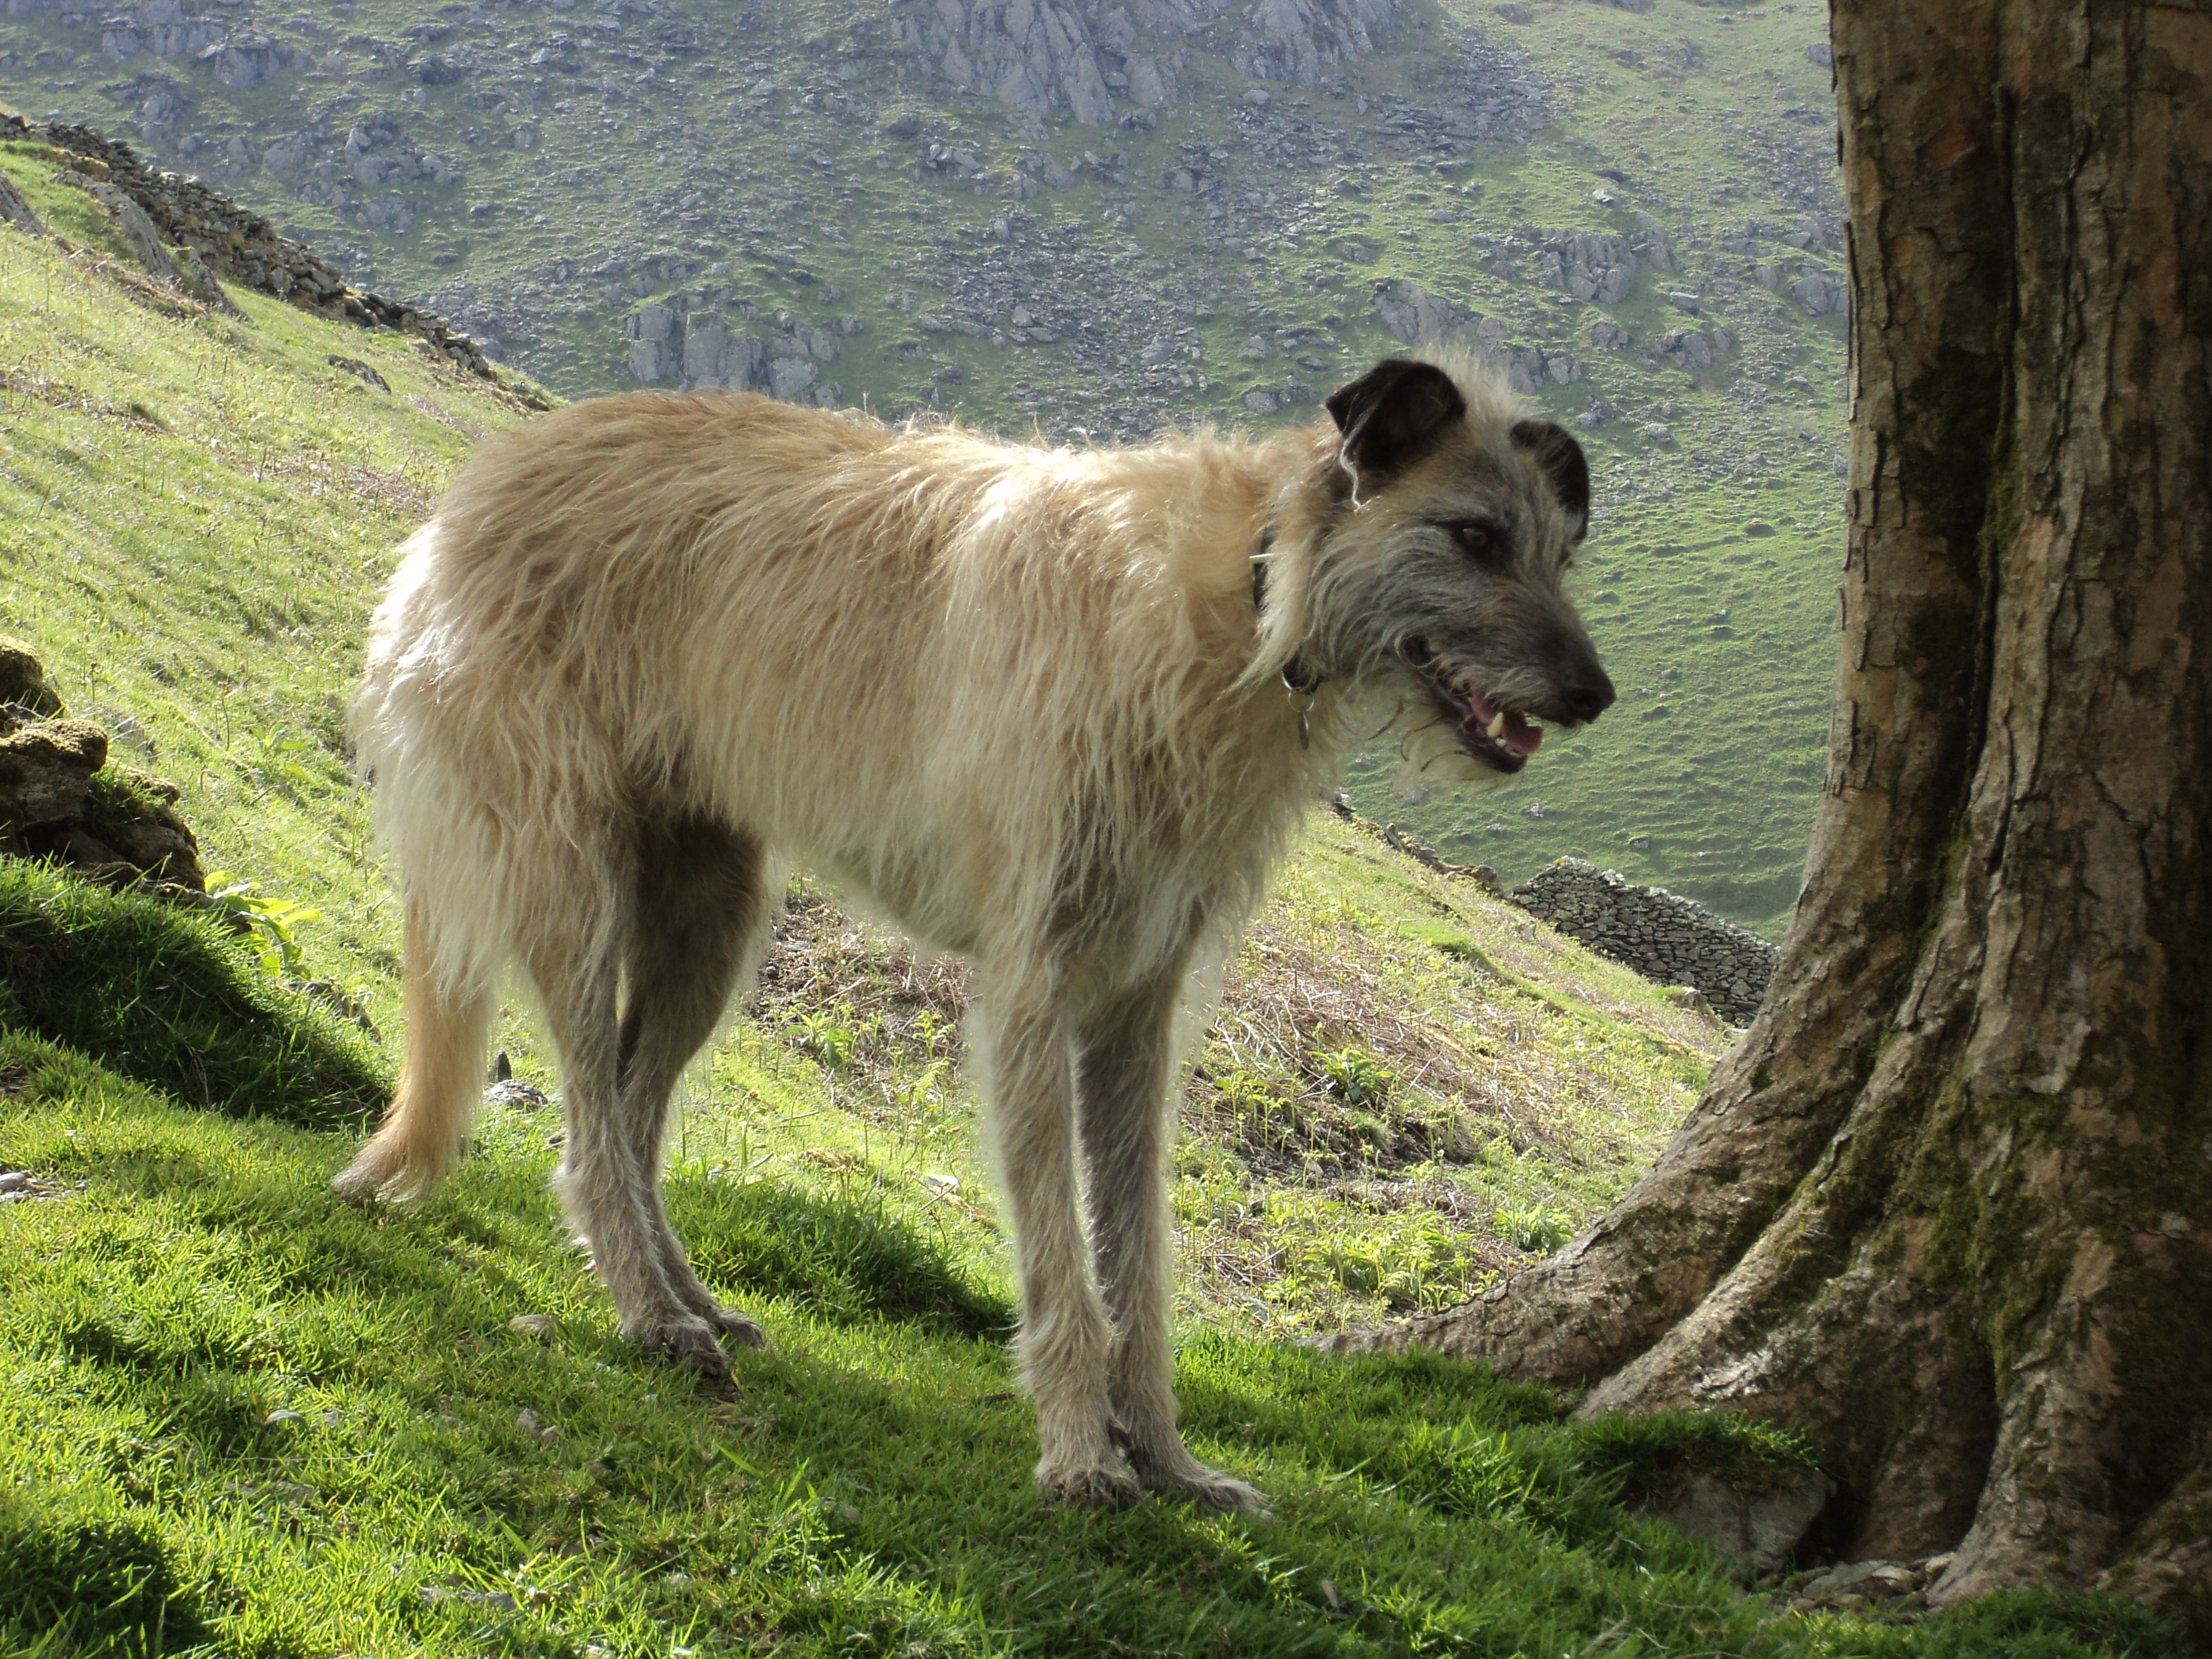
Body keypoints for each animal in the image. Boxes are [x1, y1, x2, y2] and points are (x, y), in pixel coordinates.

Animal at [332, 354, 1610, 1522]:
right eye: (1474, 536)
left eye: (1558, 553)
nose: (1592, 696)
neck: (1238, 595)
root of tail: (468, 493)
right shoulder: (1031, 982)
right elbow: (1058, 1242)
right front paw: (1080, 1452)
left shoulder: (1140, 1003)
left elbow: (1139, 1249)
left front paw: (1169, 1457)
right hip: (564, 871)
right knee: (593, 1121)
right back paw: (649, 1314)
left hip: (711, 908)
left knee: (637, 1114)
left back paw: (688, 1298)